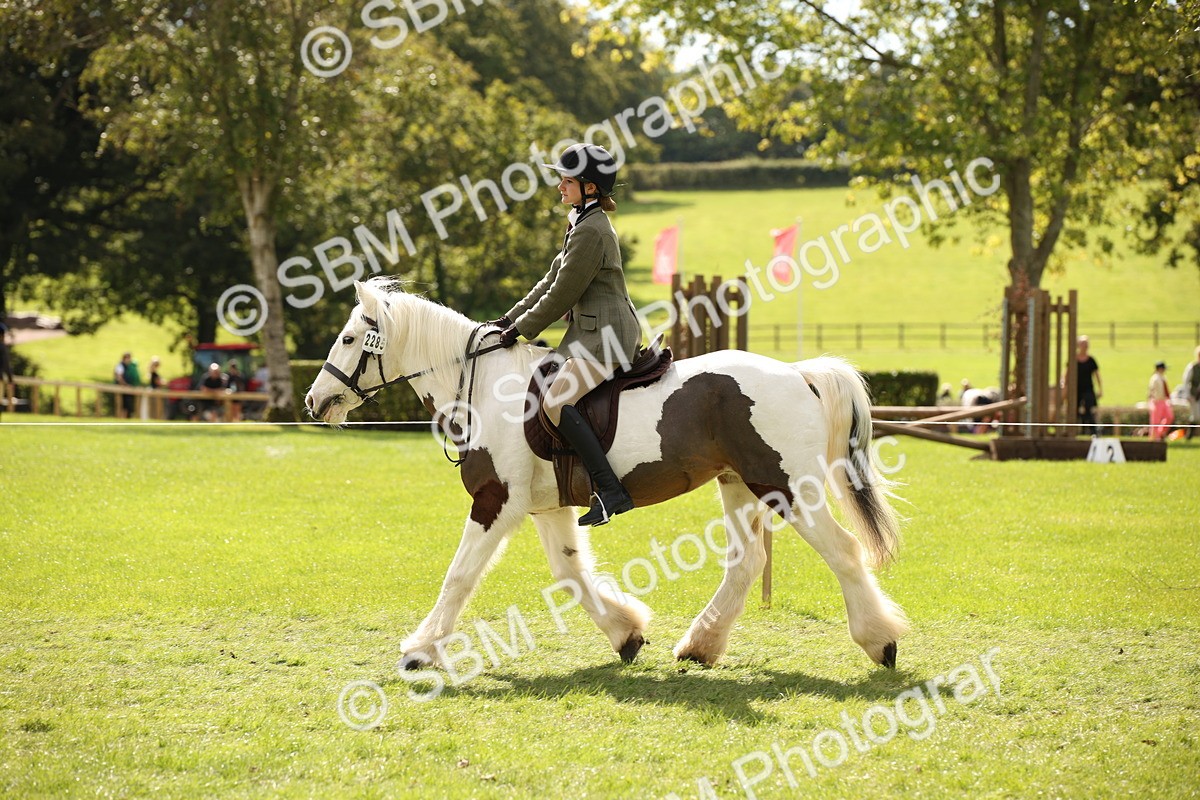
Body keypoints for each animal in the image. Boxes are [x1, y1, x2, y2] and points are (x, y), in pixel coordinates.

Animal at [305, 278, 907, 670]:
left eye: (349, 339)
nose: (314, 400)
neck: (484, 388)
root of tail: (798, 373)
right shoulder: (545, 506)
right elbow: (569, 573)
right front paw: (626, 635)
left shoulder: (496, 501)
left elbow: (460, 575)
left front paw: (420, 649)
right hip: (736, 483)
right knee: (746, 561)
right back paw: (700, 646)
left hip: (788, 488)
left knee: (843, 551)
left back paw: (880, 643)